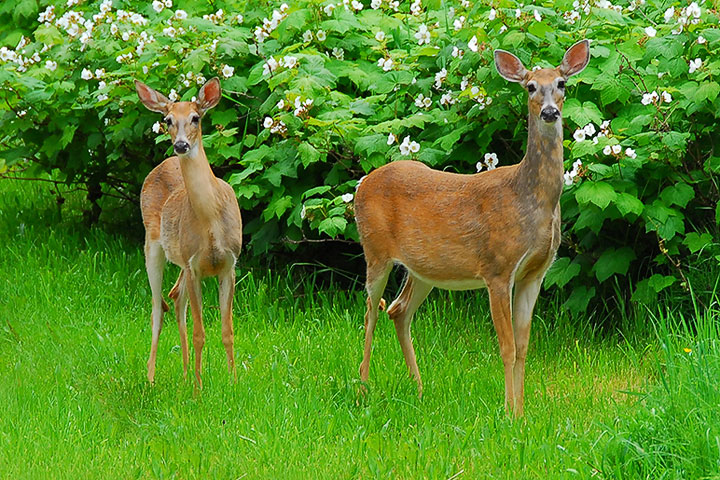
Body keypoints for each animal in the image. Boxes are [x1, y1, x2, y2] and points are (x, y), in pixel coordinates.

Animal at [131, 78, 240, 386]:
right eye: (167, 120)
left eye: (196, 117)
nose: (181, 145)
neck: (211, 222)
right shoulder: (194, 266)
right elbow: (199, 333)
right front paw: (199, 388)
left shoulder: (229, 264)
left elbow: (227, 331)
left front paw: (233, 381)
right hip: (152, 244)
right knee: (157, 308)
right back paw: (152, 378)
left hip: (178, 256)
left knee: (175, 296)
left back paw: (184, 372)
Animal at [354, 40, 592, 416]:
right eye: (530, 87)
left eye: (562, 84)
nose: (550, 112)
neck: (531, 202)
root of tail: (362, 183)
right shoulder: (497, 267)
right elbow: (507, 347)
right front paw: (508, 413)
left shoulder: (535, 272)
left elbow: (524, 346)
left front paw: (521, 412)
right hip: (375, 250)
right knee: (369, 312)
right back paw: (363, 390)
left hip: (424, 268)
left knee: (398, 310)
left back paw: (419, 390)